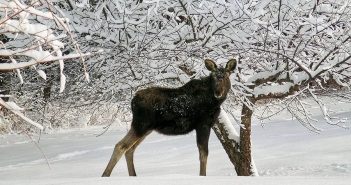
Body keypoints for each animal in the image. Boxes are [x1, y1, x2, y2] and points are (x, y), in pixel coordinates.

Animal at [103, 58, 238, 176]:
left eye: (226, 76)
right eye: (214, 76)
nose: (218, 92)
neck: (215, 102)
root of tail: (132, 101)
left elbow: (202, 153)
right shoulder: (203, 124)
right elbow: (203, 153)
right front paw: (202, 175)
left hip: (146, 128)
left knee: (130, 149)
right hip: (140, 125)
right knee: (121, 146)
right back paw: (105, 175)